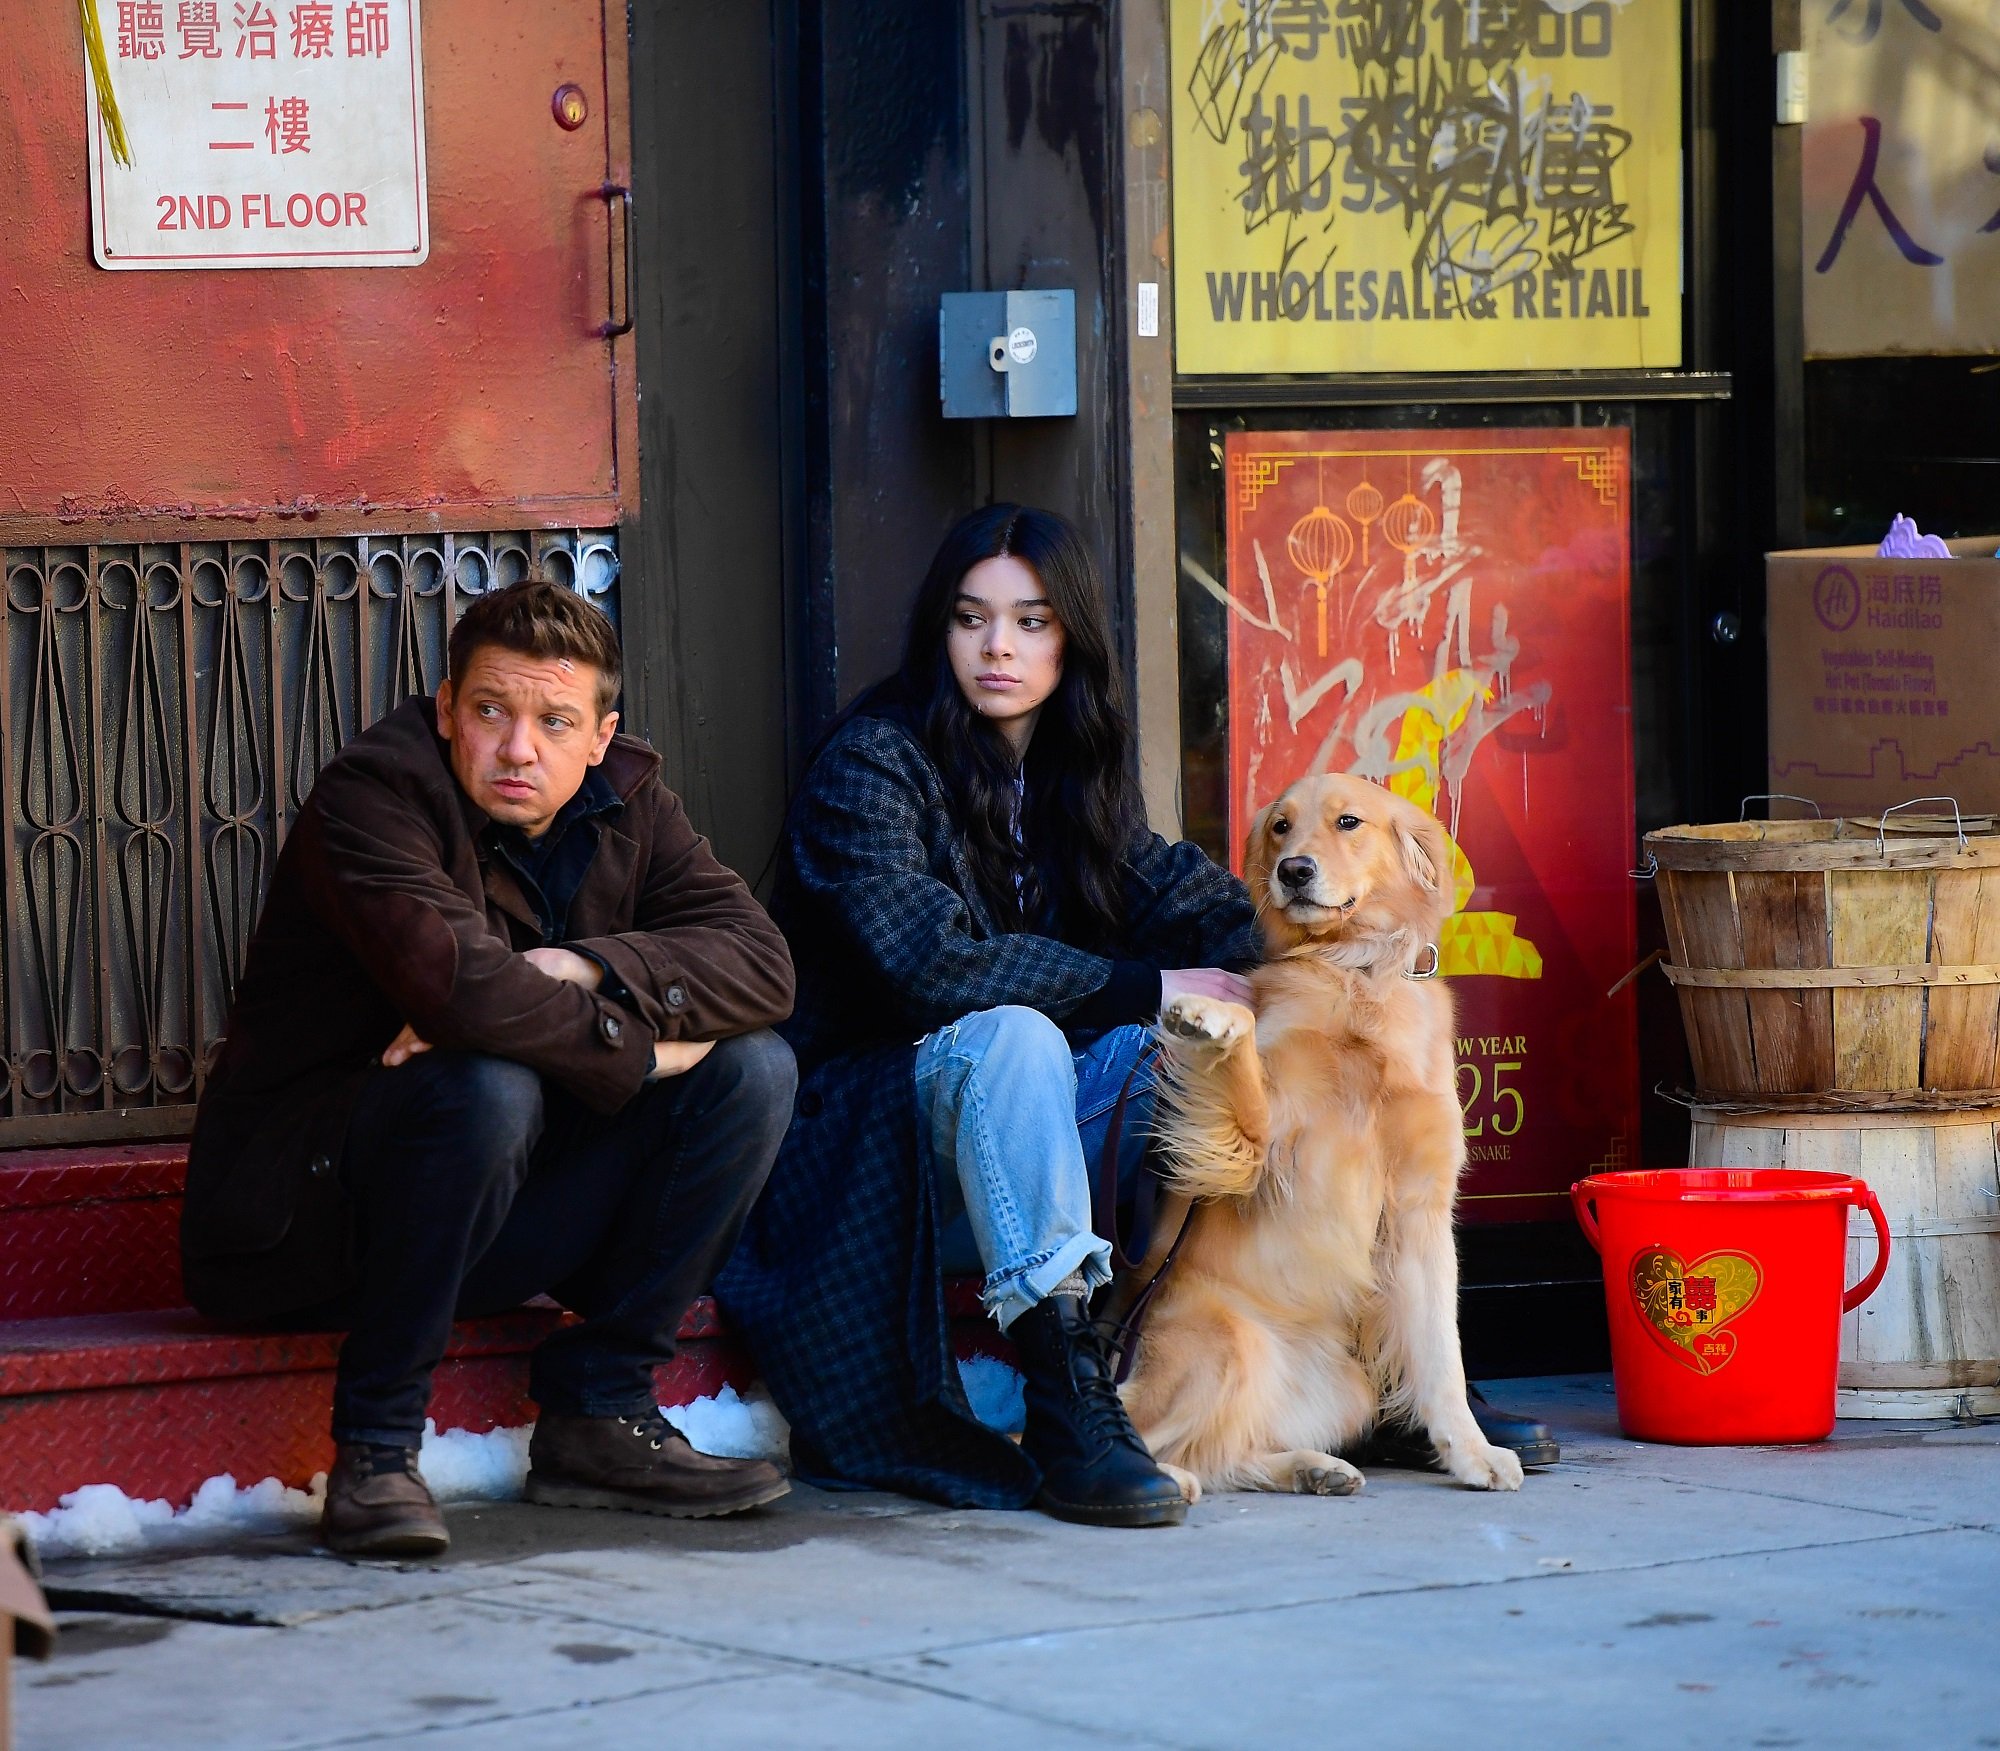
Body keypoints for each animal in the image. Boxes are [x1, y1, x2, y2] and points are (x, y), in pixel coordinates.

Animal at [1120, 779, 1520, 1503]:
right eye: (1281, 827)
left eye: (1348, 822)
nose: (1294, 870)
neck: (1354, 972)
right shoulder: (1253, 1143)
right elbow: (1244, 1042)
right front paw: (1210, 1013)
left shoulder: (1419, 1207)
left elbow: (1441, 1356)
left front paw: (1472, 1452)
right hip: (1226, 1345)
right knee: (1155, 1435)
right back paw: (1162, 1476)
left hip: (1349, 1387)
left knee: (1224, 1454)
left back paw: (1312, 1467)